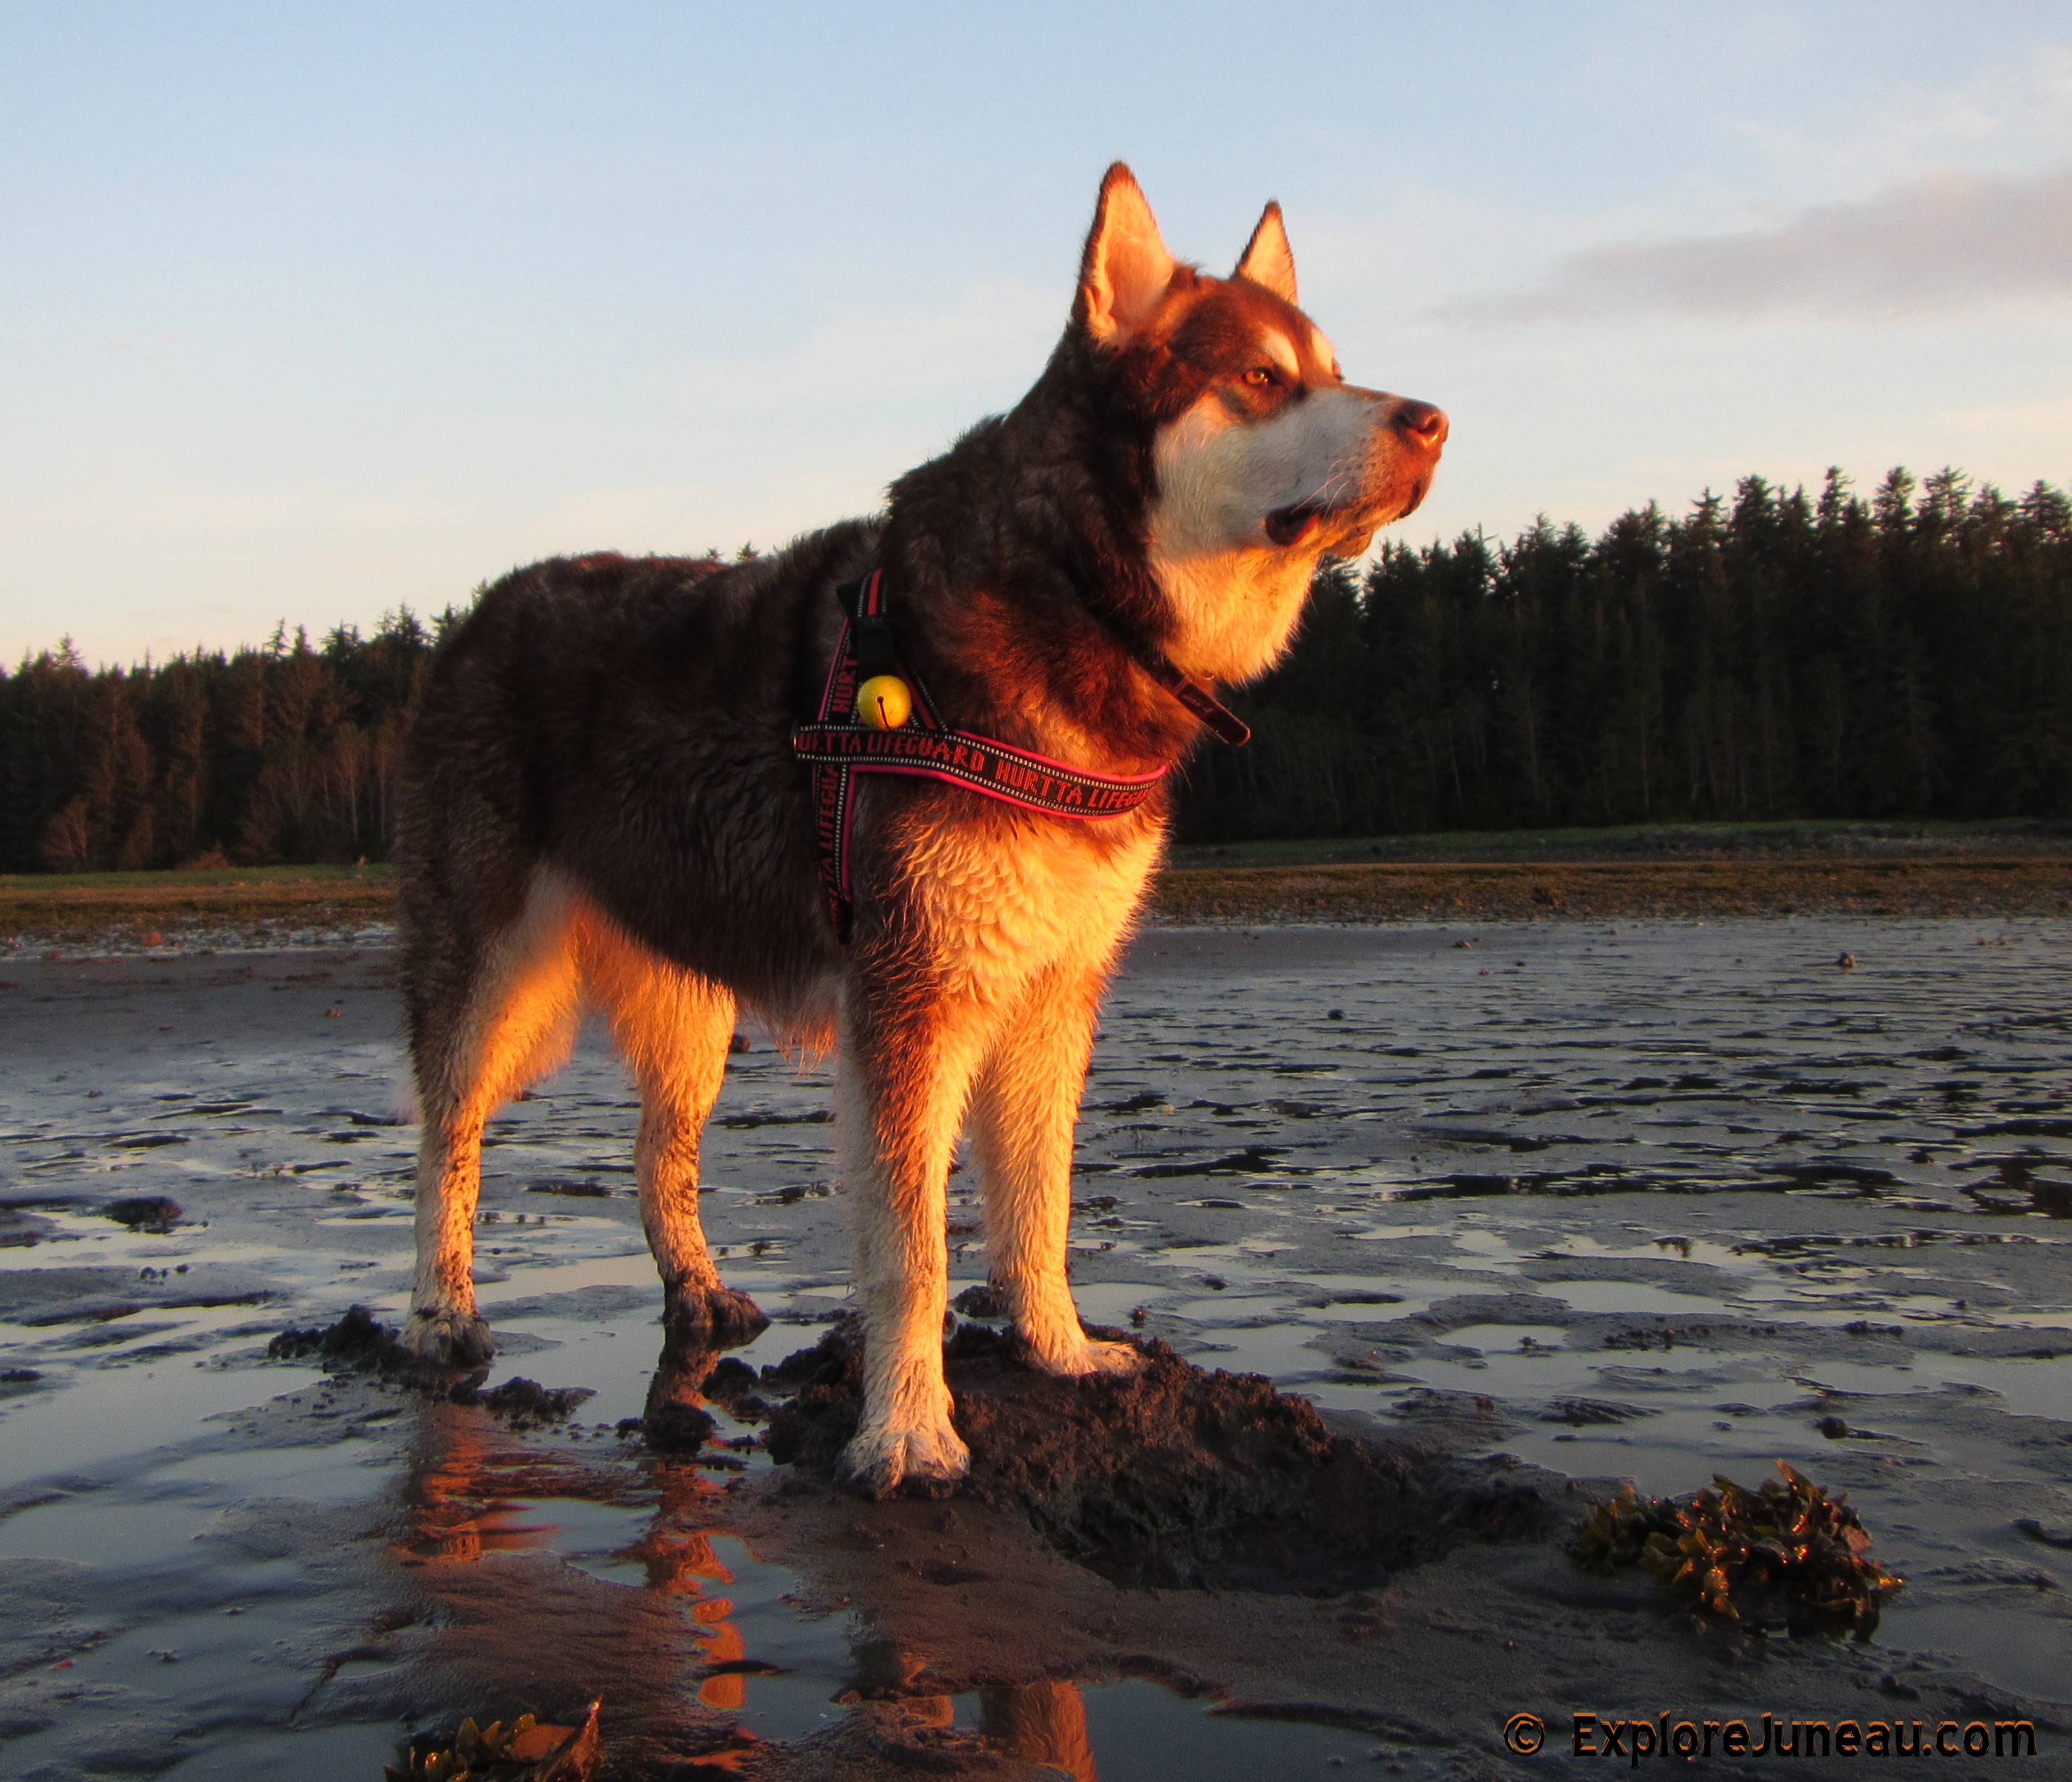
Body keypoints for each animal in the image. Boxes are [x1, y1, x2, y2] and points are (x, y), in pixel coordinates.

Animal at [396, 166, 1450, 1500]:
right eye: (1263, 378)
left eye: (1334, 369)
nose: (1433, 421)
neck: (1080, 604)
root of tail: (479, 610)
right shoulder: (911, 997)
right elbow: (913, 1250)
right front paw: (905, 1428)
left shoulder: (1054, 997)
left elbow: (1037, 1211)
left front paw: (1059, 1347)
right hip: (482, 975)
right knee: (448, 1139)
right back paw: (441, 1312)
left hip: (694, 1001)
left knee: (656, 1154)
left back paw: (697, 1292)